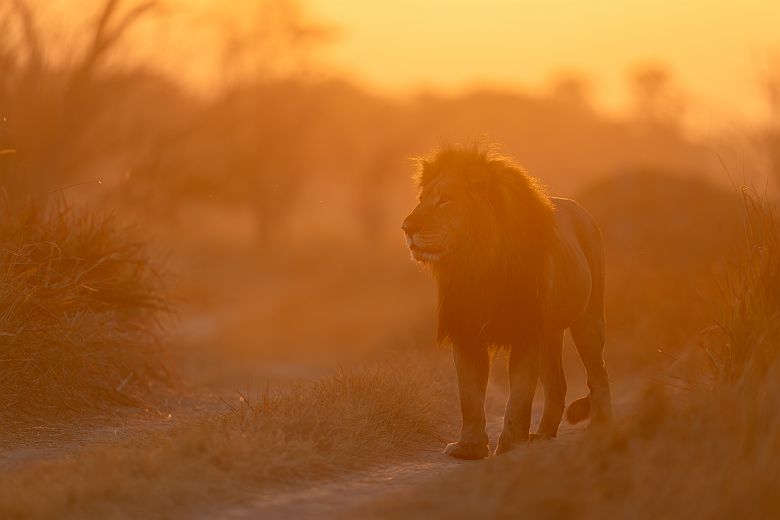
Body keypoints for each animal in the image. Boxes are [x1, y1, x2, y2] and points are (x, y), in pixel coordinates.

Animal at [402, 144, 612, 459]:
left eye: (446, 201)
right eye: (421, 200)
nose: (406, 227)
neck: (477, 263)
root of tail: (582, 211)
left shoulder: (526, 331)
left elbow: (520, 395)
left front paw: (511, 445)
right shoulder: (466, 330)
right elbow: (469, 395)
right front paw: (469, 447)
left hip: (588, 318)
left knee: (598, 374)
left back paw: (600, 426)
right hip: (549, 334)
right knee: (557, 385)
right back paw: (542, 435)